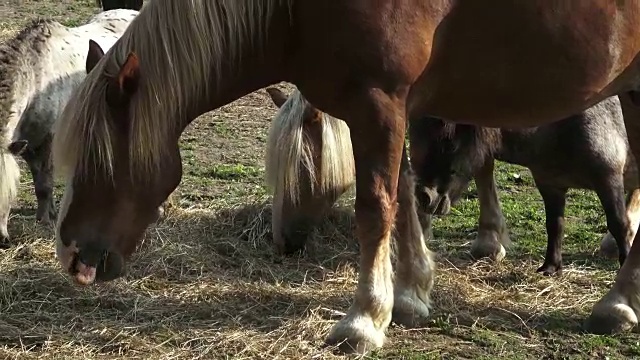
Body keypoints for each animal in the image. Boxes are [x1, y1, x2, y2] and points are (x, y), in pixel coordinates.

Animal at [410, 95, 640, 276]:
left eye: (450, 144)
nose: (425, 196)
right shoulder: (550, 185)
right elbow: (554, 226)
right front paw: (550, 267)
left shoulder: (608, 179)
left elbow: (619, 224)